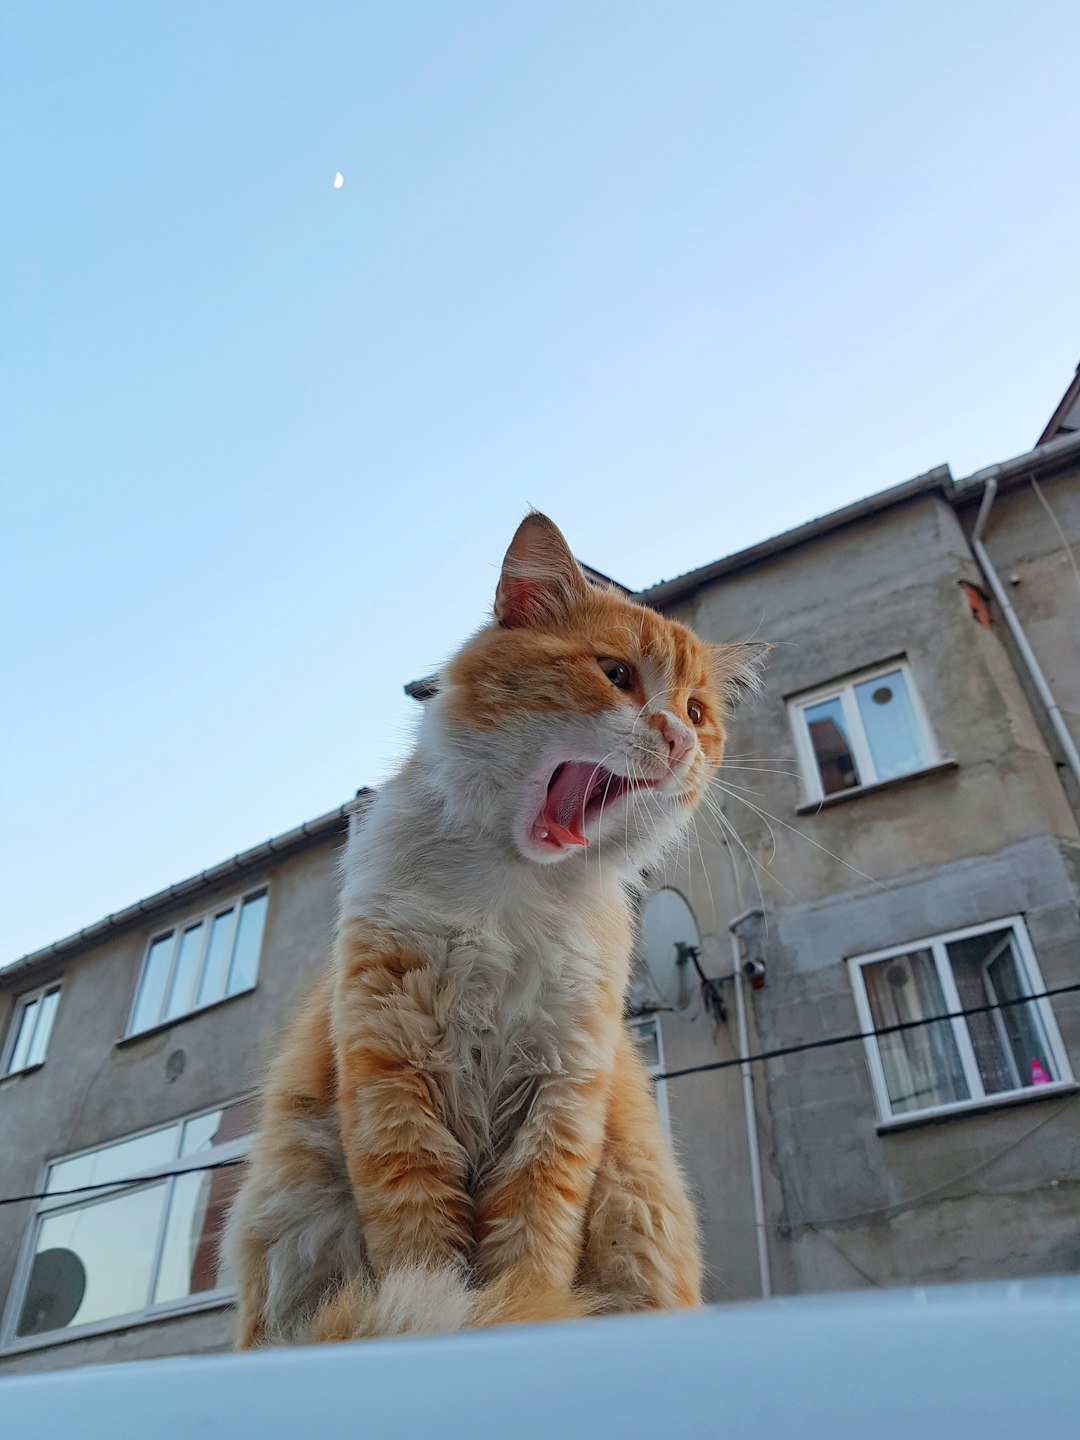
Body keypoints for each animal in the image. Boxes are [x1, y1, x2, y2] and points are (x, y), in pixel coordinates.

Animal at [226, 512, 760, 1342]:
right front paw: (452, 1309)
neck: (513, 893)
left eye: (698, 714)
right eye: (617, 675)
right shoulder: (393, 1068)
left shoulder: (562, 1090)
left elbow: (532, 1247)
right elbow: (421, 1248)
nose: (677, 738)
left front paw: (520, 1312)